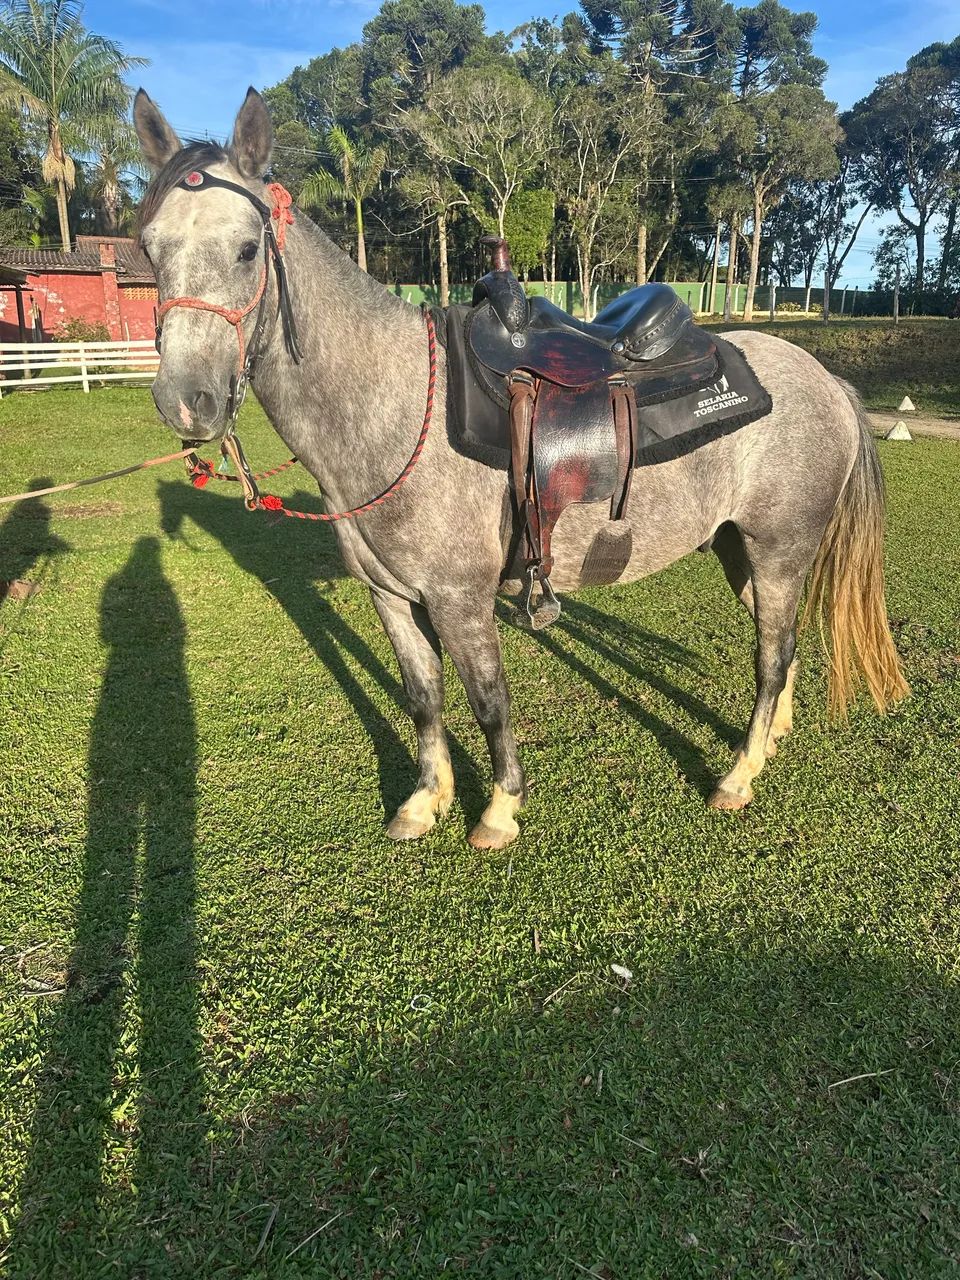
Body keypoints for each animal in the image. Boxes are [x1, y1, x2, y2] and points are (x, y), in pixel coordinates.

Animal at [133, 88, 908, 850]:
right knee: (784, 650)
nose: (187, 401)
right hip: (739, 551)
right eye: (149, 249)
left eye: (246, 250)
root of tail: (826, 381)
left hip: (780, 551)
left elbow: (488, 702)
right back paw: (770, 742)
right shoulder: (391, 598)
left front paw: (500, 809)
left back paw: (738, 776)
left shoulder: (459, 600)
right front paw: (425, 801)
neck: (396, 400)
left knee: (771, 658)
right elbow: (424, 699)